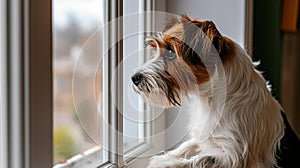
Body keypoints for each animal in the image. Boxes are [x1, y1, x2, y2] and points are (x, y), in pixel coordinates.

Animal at [131, 15, 300, 167]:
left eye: (171, 51)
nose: (134, 78)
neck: (210, 98)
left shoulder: (234, 156)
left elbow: (200, 160)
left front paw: (165, 164)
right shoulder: (205, 137)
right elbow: (187, 146)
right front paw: (162, 159)